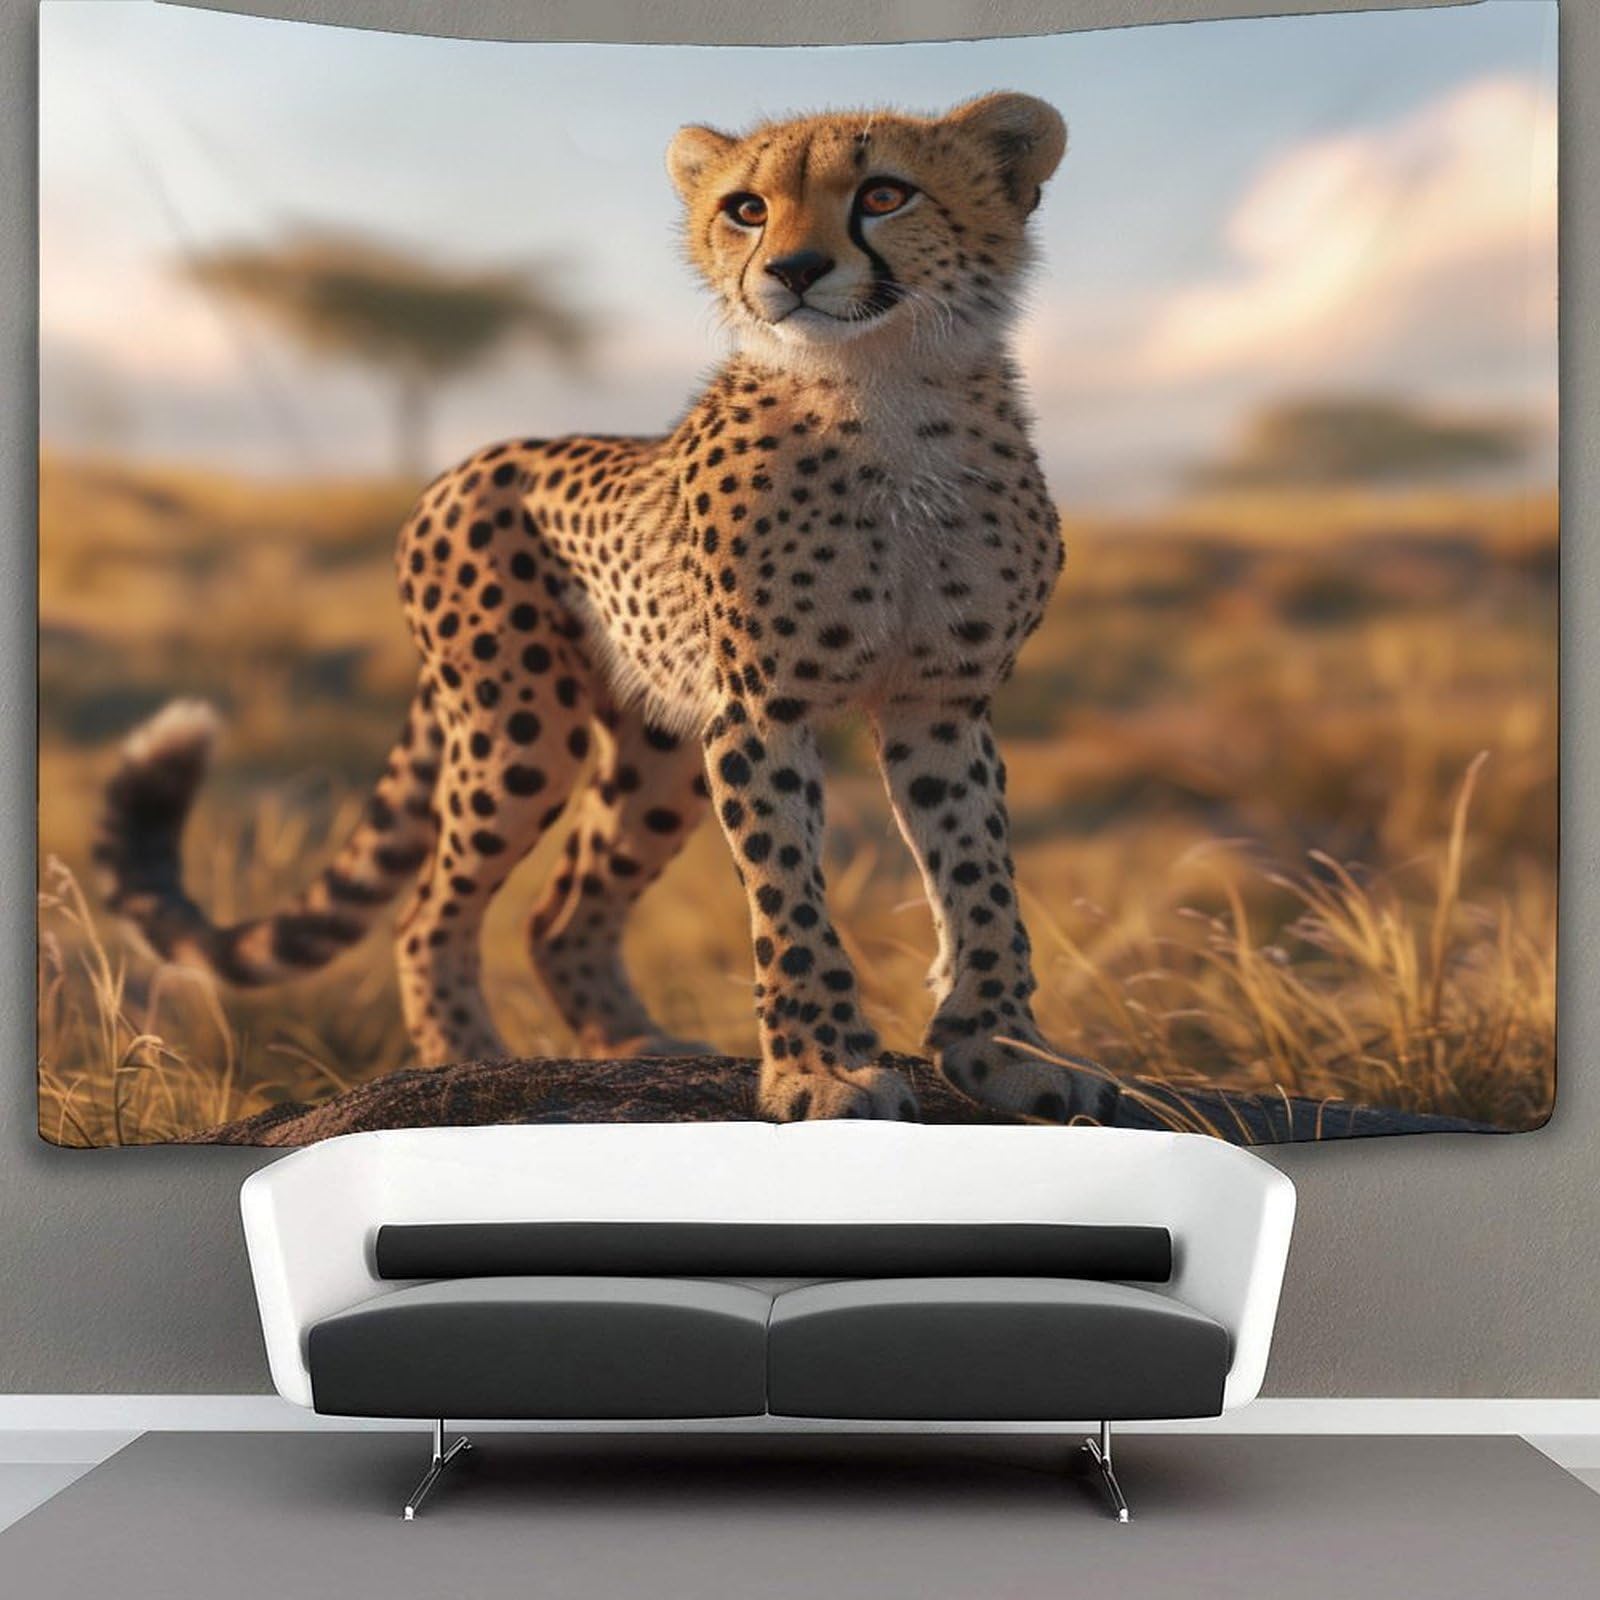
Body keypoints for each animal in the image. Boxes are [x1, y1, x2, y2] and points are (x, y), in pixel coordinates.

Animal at [96, 91, 1116, 1125]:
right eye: (748, 209)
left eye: (883, 194)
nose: (792, 270)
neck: (887, 392)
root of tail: (462, 466)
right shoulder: (761, 712)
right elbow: (786, 896)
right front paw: (819, 1069)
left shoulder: (940, 704)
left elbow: (980, 876)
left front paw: (1003, 1046)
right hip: (518, 731)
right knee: (429, 913)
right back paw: (466, 1065)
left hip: (657, 756)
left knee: (559, 914)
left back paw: (634, 1044)